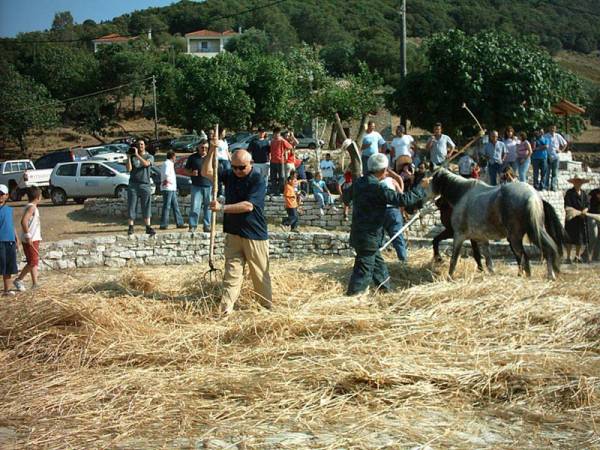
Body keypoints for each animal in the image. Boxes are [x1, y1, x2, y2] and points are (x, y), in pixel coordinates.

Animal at [428, 169, 564, 280]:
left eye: (432, 180)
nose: (436, 202)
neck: (463, 194)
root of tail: (532, 196)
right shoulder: (480, 238)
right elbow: (487, 259)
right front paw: (489, 273)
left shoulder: (459, 235)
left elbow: (454, 258)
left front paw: (449, 276)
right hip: (534, 231)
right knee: (543, 251)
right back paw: (547, 275)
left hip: (516, 237)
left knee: (525, 256)